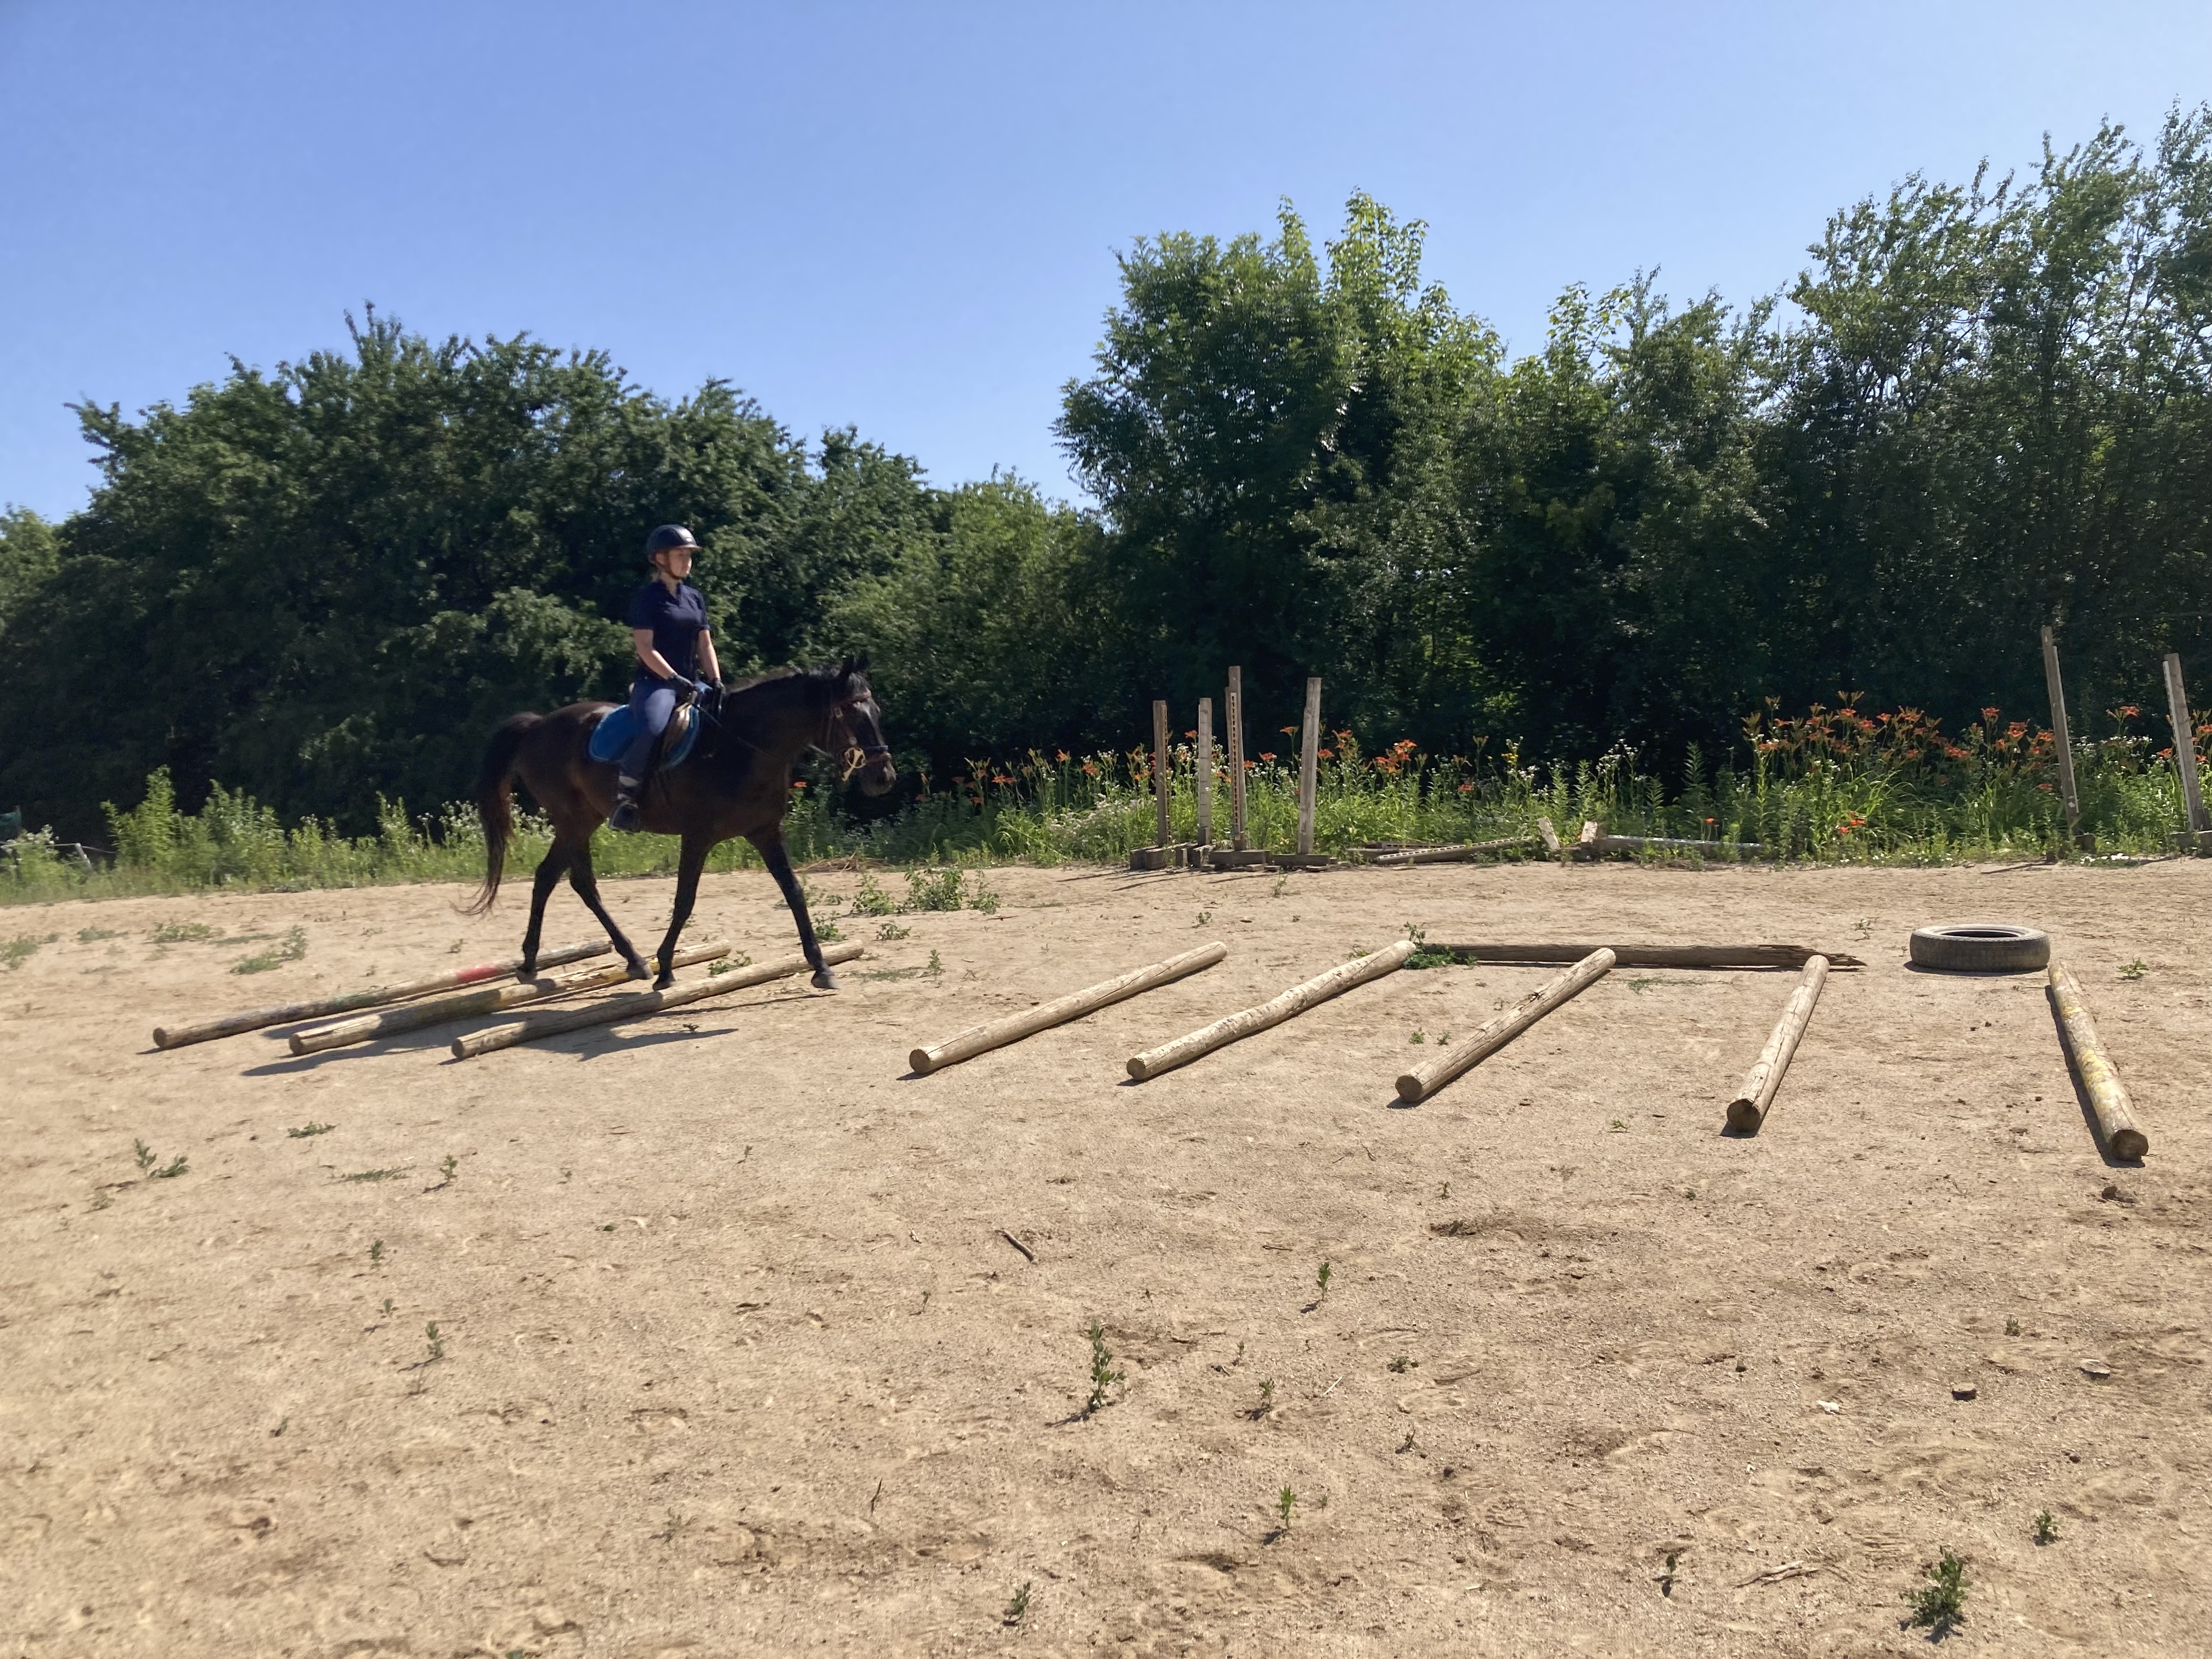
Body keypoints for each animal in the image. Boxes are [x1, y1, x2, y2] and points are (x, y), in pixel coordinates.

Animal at [465, 657, 895, 990]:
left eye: (876, 714)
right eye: (851, 716)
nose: (884, 778)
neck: (740, 747)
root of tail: (538, 725)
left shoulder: (765, 832)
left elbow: (794, 893)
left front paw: (821, 967)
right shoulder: (698, 836)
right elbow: (684, 900)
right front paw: (667, 969)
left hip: (583, 819)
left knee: (561, 879)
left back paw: (602, 961)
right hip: (573, 820)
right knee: (567, 880)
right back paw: (555, 963)